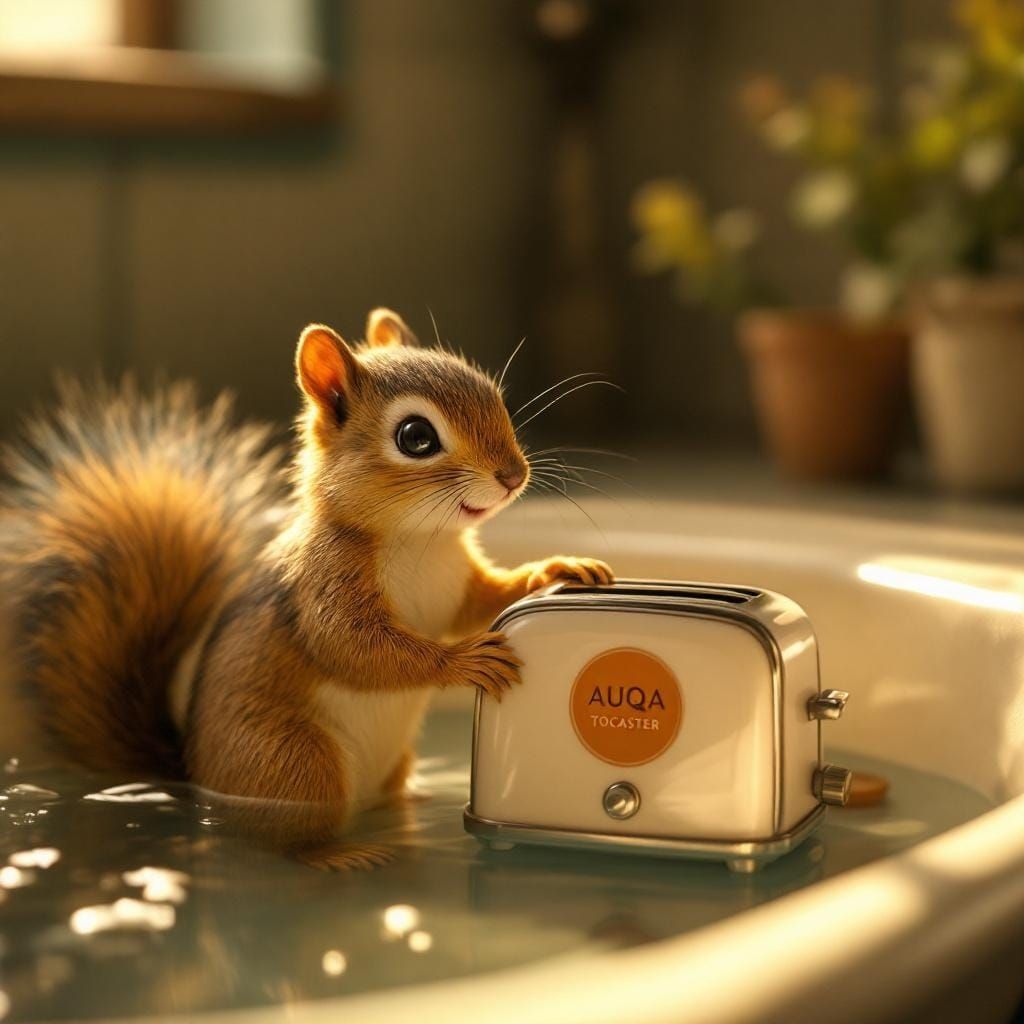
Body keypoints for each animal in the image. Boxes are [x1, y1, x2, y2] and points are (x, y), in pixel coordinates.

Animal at [0, 308, 613, 869]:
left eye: (493, 396)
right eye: (416, 437)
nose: (514, 475)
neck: (421, 539)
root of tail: (194, 785)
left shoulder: (457, 583)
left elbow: (483, 599)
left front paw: (556, 569)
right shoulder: (322, 584)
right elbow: (359, 649)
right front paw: (464, 660)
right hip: (297, 760)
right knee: (285, 840)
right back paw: (338, 854)